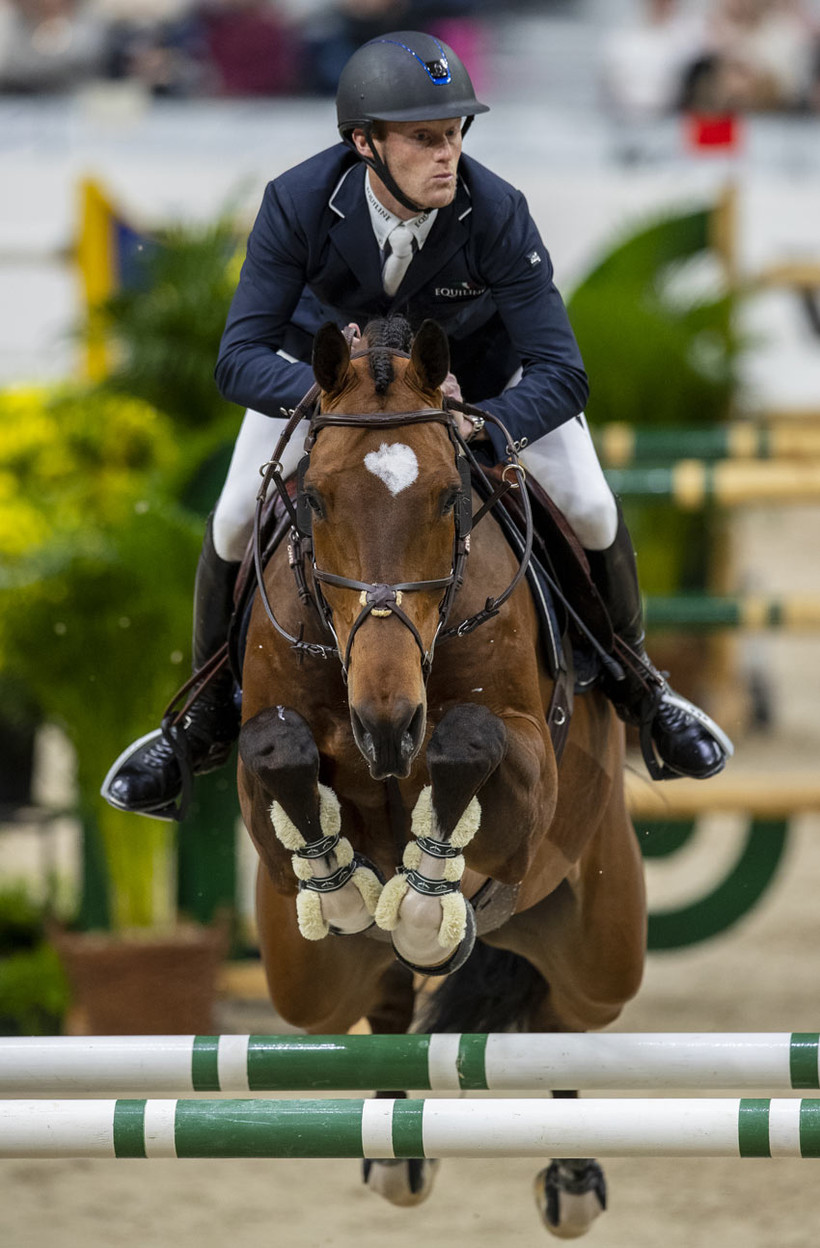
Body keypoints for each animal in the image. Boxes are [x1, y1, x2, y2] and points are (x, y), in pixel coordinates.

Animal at [233, 314, 644, 1238]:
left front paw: (426, 902)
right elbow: (277, 753)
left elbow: (469, 742)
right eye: (316, 501)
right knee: (380, 1003)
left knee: (564, 1020)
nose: (387, 722)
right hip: (304, 982)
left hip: (601, 944)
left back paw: (570, 1176)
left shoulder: (528, 774)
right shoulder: (258, 772)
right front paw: (346, 887)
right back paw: (395, 1148)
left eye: (449, 500)